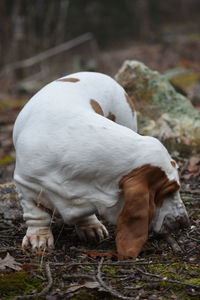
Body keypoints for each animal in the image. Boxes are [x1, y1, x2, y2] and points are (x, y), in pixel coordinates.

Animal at [12, 71, 189, 258]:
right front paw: (39, 239)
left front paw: (91, 227)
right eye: (168, 192)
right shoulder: (27, 185)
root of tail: (102, 75)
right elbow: (37, 215)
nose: (184, 222)